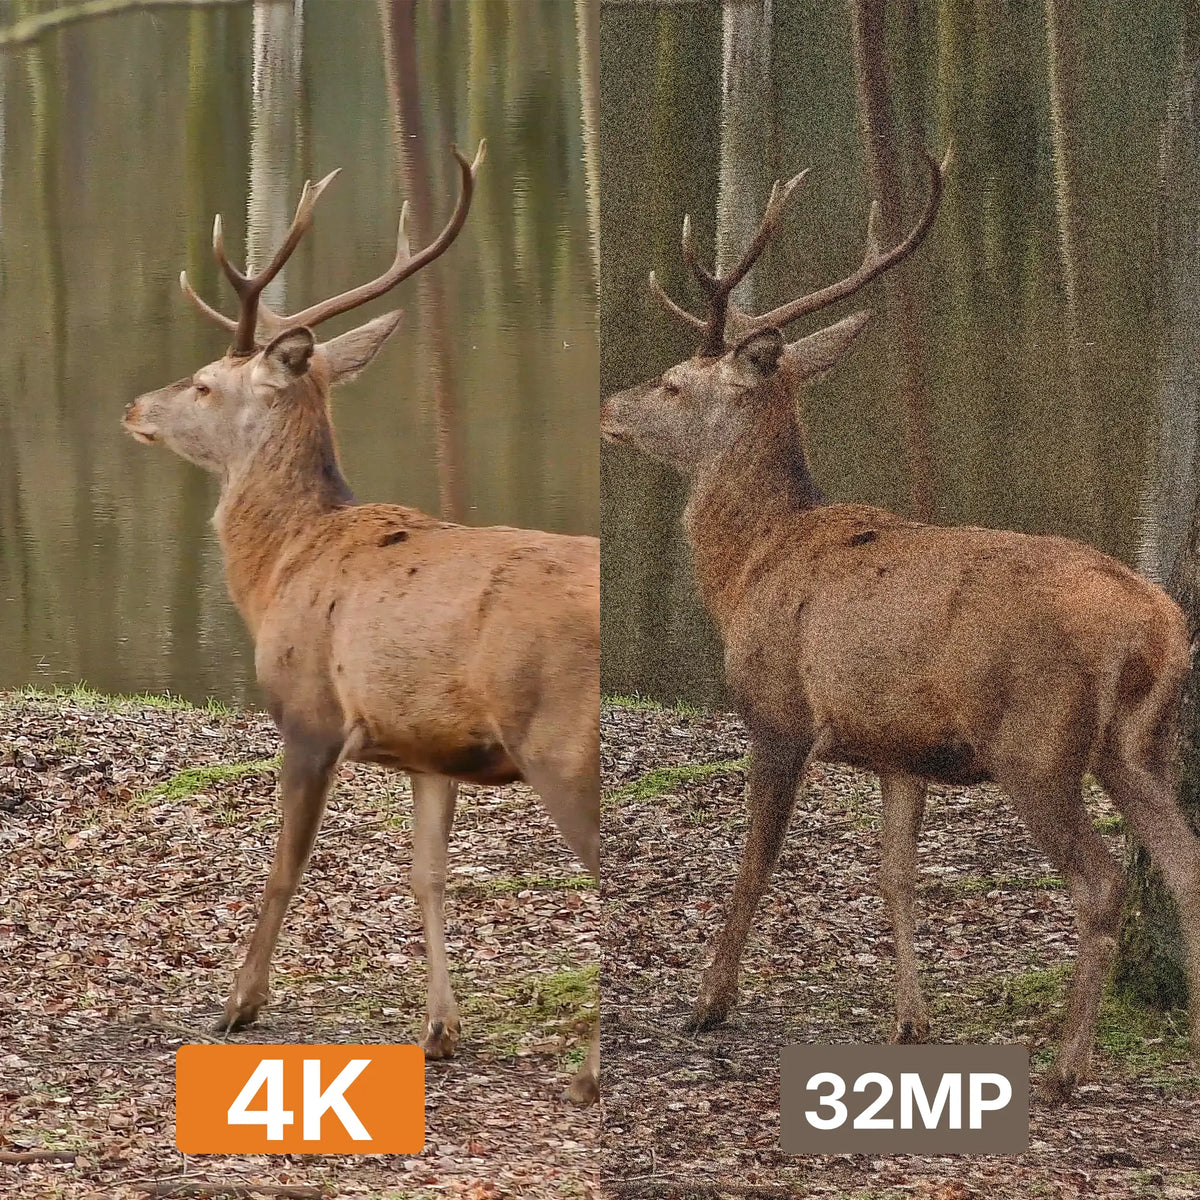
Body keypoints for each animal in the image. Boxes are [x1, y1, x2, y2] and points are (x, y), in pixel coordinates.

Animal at [123, 144, 600, 1105]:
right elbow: (428, 875)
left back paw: (592, 1073)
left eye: (204, 381)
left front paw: (237, 1004)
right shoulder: (429, 746)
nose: (134, 408)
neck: (279, 569)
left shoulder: (310, 713)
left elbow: (283, 865)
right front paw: (442, 1029)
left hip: (562, 735)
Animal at [600, 147, 1200, 1101]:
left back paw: (1066, 1070)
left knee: (1103, 883)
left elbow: (754, 865)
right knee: (1185, 868)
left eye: (673, 382)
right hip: (1140, 742)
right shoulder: (897, 748)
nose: (611, 410)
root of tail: (1158, 625)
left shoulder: (778, 711)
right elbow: (895, 875)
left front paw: (707, 1003)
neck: (748, 568)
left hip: (1038, 741)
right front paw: (910, 1019)